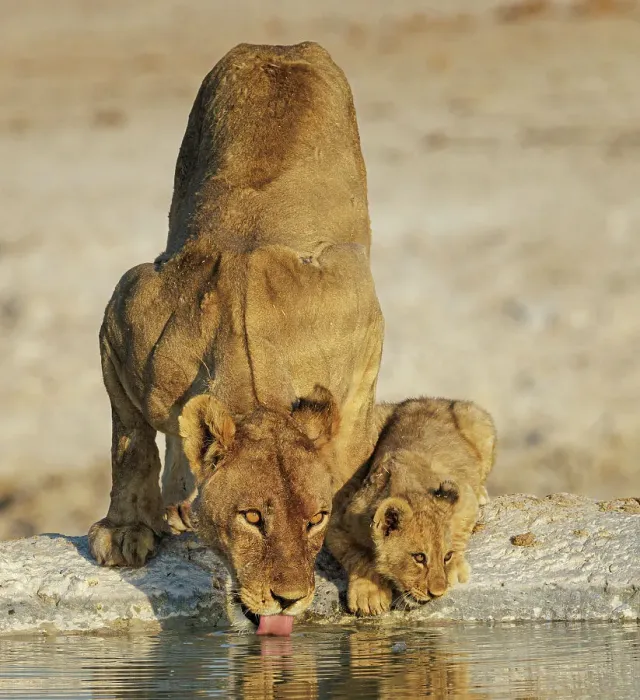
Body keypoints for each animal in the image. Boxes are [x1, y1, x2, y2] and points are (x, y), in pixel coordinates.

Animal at [88, 42, 384, 632]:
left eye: (316, 518)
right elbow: (129, 444)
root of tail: (283, 46)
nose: (289, 598)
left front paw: (367, 581)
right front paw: (128, 529)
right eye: (251, 517)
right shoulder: (121, 318)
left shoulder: (363, 352)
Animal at [326, 397, 496, 616]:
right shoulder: (338, 522)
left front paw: (456, 569)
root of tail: (430, 399)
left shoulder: (465, 495)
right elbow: (357, 556)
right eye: (419, 557)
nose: (437, 593)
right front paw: (370, 594)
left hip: (476, 417)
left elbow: (460, 530)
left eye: (447, 556)